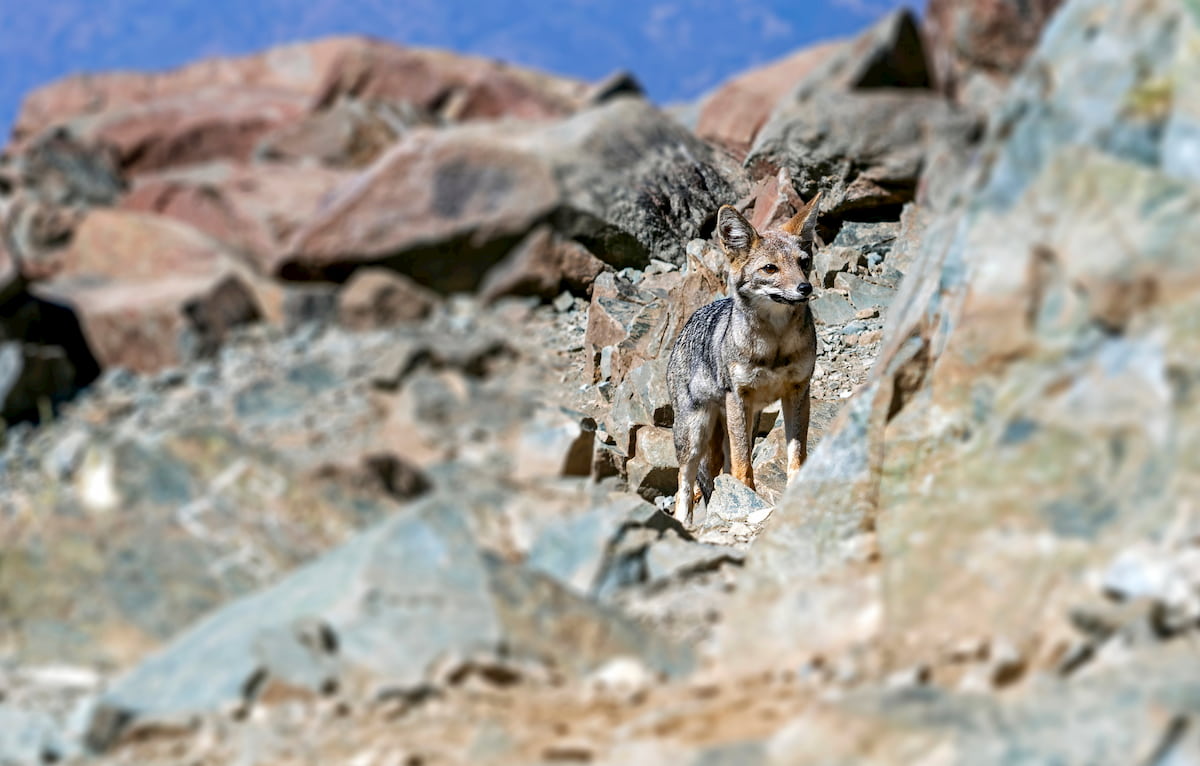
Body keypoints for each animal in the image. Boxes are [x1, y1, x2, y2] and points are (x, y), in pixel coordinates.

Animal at [666, 193, 821, 526]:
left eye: (803, 263)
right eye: (770, 269)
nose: (805, 288)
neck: (775, 345)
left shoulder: (798, 392)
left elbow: (796, 452)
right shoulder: (739, 395)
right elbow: (742, 463)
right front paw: (746, 496)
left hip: (742, 420)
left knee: (718, 470)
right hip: (694, 433)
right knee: (684, 483)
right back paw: (685, 522)